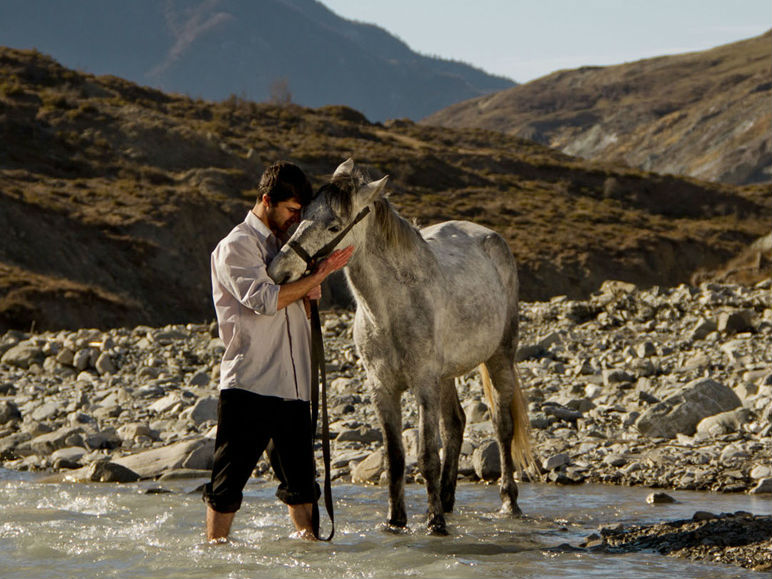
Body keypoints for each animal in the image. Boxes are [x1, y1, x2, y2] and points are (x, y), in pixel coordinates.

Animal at [266, 159, 532, 536]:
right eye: (301, 214)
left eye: (334, 225)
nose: (278, 272)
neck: (390, 310)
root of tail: (491, 238)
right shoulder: (383, 388)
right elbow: (394, 457)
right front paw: (396, 522)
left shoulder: (423, 385)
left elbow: (426, 454)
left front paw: (435, 525)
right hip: (446, 376)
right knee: (455, 424)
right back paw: (447, 501)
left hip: (499, 358)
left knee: (502, 425)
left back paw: (508, 502)